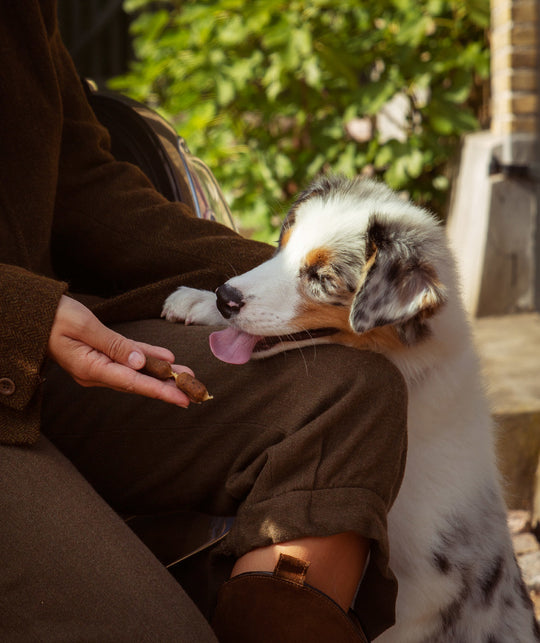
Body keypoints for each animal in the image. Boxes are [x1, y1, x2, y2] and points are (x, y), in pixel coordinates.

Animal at [161, 174, 540, 640]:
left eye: (322, 277)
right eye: (282, 246)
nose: (224, 297)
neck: (410, 371)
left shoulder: (418, 587)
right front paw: (197, 302)